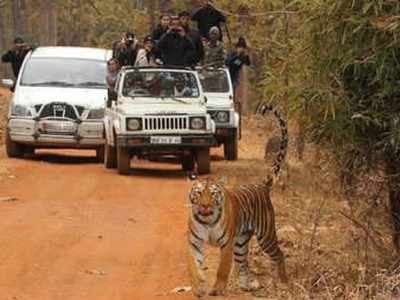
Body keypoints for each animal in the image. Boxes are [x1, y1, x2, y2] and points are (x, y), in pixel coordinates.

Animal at [187, 104, 288, 296]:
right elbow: (195, 267)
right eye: (198, 193)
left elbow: (222, 268)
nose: (205, 206)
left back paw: (282, 282)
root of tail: (262, 185)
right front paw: (198, 287)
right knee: (244, 262)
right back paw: (245, 286)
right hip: (241, 241)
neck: (207, 221)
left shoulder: (226, 244)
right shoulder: (195, 243)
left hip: (265, 236)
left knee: (279, 254)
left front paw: (217, 289)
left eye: (213, 194)